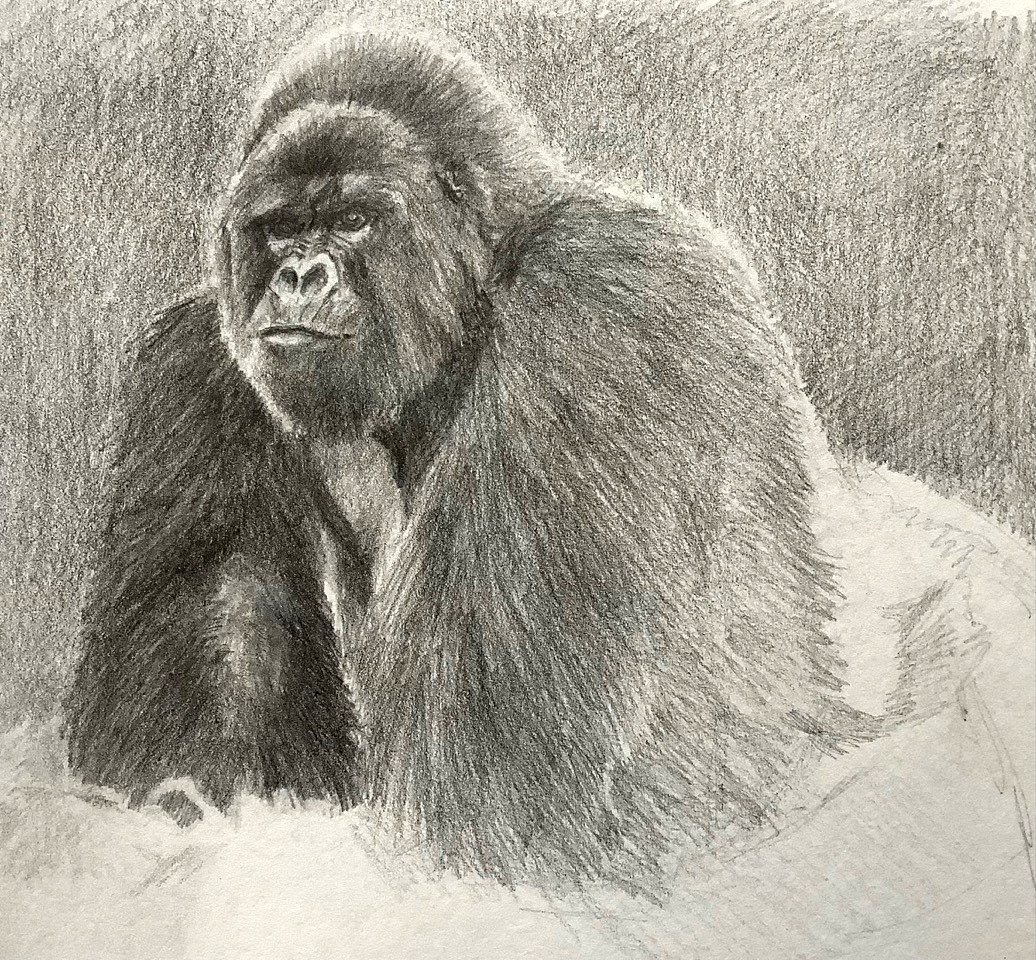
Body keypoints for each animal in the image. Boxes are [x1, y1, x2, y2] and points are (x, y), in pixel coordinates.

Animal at [65, 26, 874, 889]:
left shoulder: (591, 314)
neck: (480, 286)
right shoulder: (195, 366)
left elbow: (503, 791)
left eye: (353, 219)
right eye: (281, 227)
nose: (299, 275)